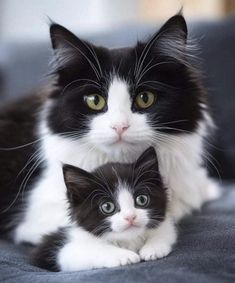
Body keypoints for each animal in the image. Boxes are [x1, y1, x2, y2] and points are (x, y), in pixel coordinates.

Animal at [33, 148, 176, 272]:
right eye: (107, 207)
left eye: (141, 199)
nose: (130, 217)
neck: (127, 240)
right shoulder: (62, 249)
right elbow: (90, 250)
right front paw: (124, 255)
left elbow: (165, 230)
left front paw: (153, 248)